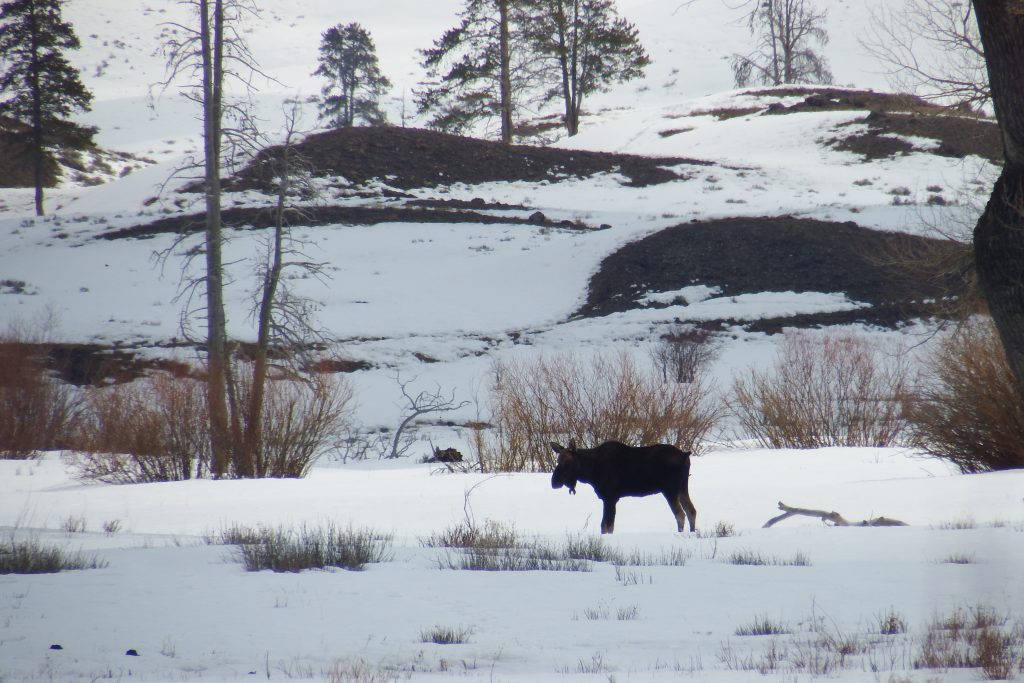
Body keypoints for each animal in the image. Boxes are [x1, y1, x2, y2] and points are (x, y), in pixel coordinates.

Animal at [552, 440, 696, 536]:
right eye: (558, 460)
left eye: (568, 462)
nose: (554, 482)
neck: (591, 471)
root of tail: (685, 455)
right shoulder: (609, 498)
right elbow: (606, 526)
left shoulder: (610, 497)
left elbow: (607, 526)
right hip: (683, 488)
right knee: (691, 511)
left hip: (670, 489)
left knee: (680, 514)